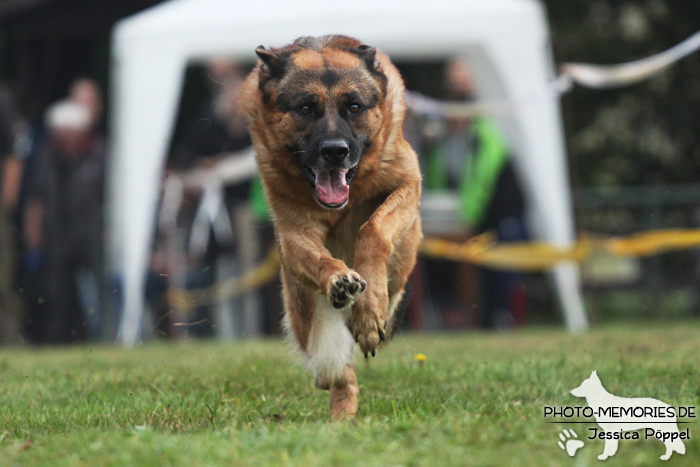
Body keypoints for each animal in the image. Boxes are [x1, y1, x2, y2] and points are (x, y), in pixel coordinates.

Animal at [239, 35, 422, 420]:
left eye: (353, 107)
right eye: (307, 108)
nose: (335, 151)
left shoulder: (407, 183)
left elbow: (373, 231)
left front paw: (369, 312)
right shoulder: (295, 235)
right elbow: (319, 259)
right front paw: (341, 281)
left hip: (403, 260)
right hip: (308, 315)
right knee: (335, 374)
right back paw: (340, 412)